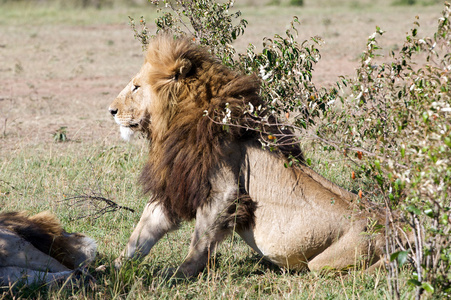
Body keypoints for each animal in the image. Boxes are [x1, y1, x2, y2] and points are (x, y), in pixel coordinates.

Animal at [108, 34, 388, 276]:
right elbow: (140, 236)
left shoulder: (223, 189)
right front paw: (109, 269)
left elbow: (200, 241)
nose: (111, 110)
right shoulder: (176, 185)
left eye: (136, 87)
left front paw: (178, 274)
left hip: (327, 262)